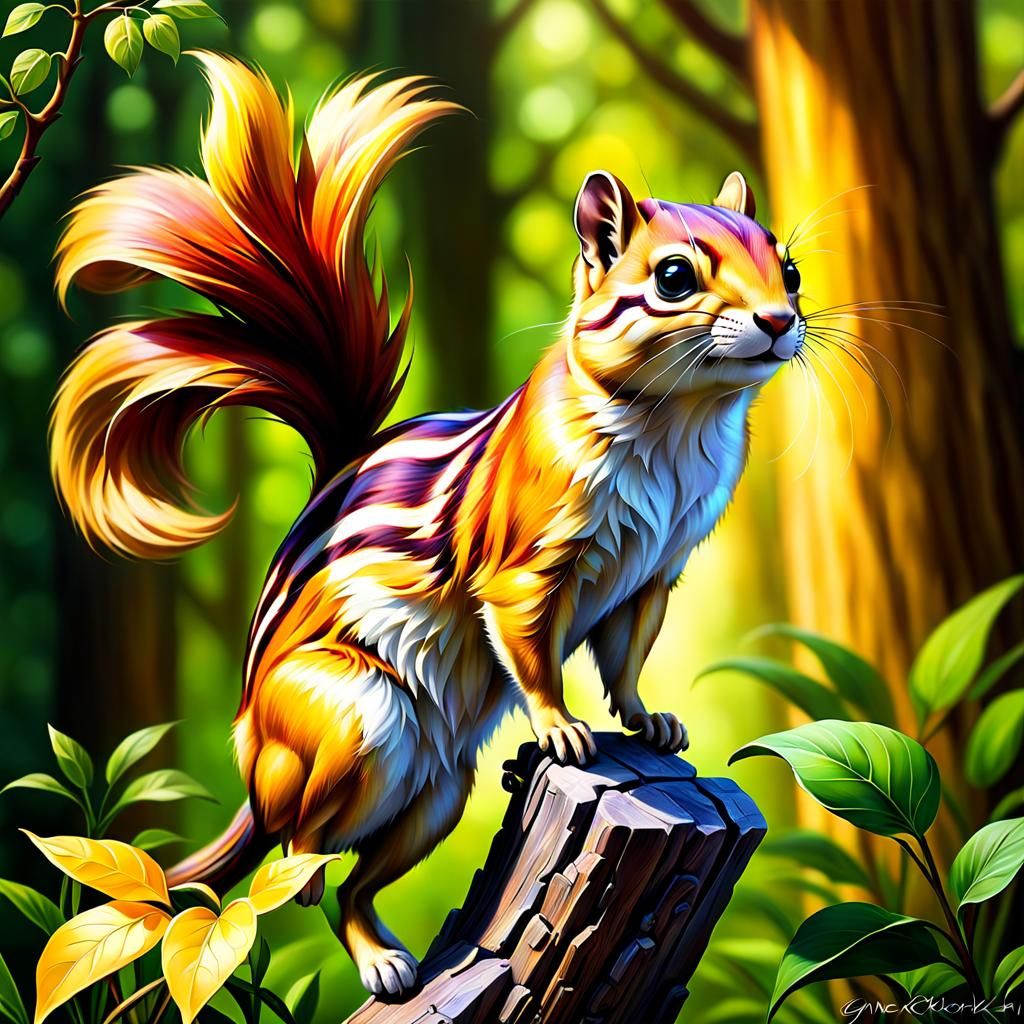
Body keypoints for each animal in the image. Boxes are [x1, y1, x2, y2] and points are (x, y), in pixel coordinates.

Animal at [50, 53, 804, 997]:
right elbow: (534, 650)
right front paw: (560, 726)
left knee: (347, 885)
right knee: (295, 857)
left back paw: (381, 952)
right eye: (673, 278)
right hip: (353, 723)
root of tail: (253, 767)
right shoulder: (526, 570)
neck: (680, 422)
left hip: (435, 797)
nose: (781, 321)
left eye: (790, 270)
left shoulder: (654, 575)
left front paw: (648, 722)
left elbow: (628, 657)